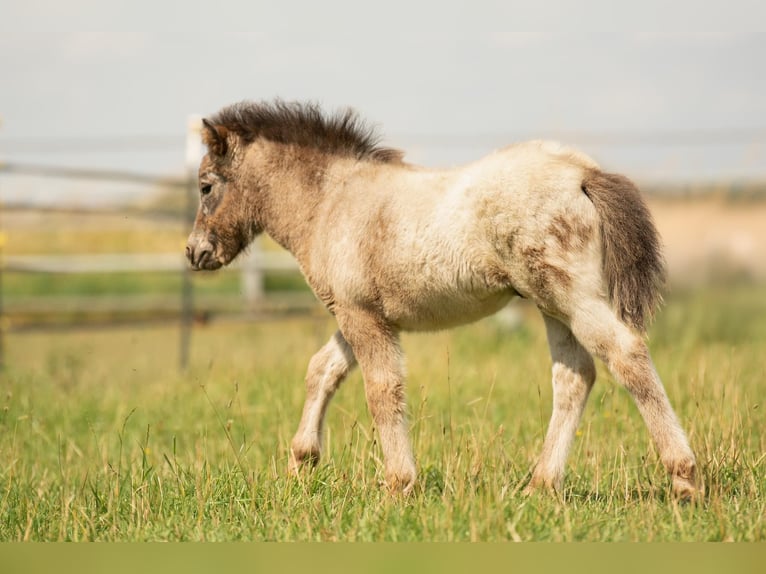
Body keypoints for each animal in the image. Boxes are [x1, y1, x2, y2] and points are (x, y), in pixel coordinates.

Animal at [186, 100, 704, 500]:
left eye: (206, 185)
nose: (195, 252)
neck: (332, 202)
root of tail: (582, 172)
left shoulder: (362, 317)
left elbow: (381, 390)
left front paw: (398, 484)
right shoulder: (358, 316)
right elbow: (322, 371)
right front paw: (301, 461)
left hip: (573, 296)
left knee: (627, 355)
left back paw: (684, 478)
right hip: (551, 304)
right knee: (575, 377)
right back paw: (541, 484)